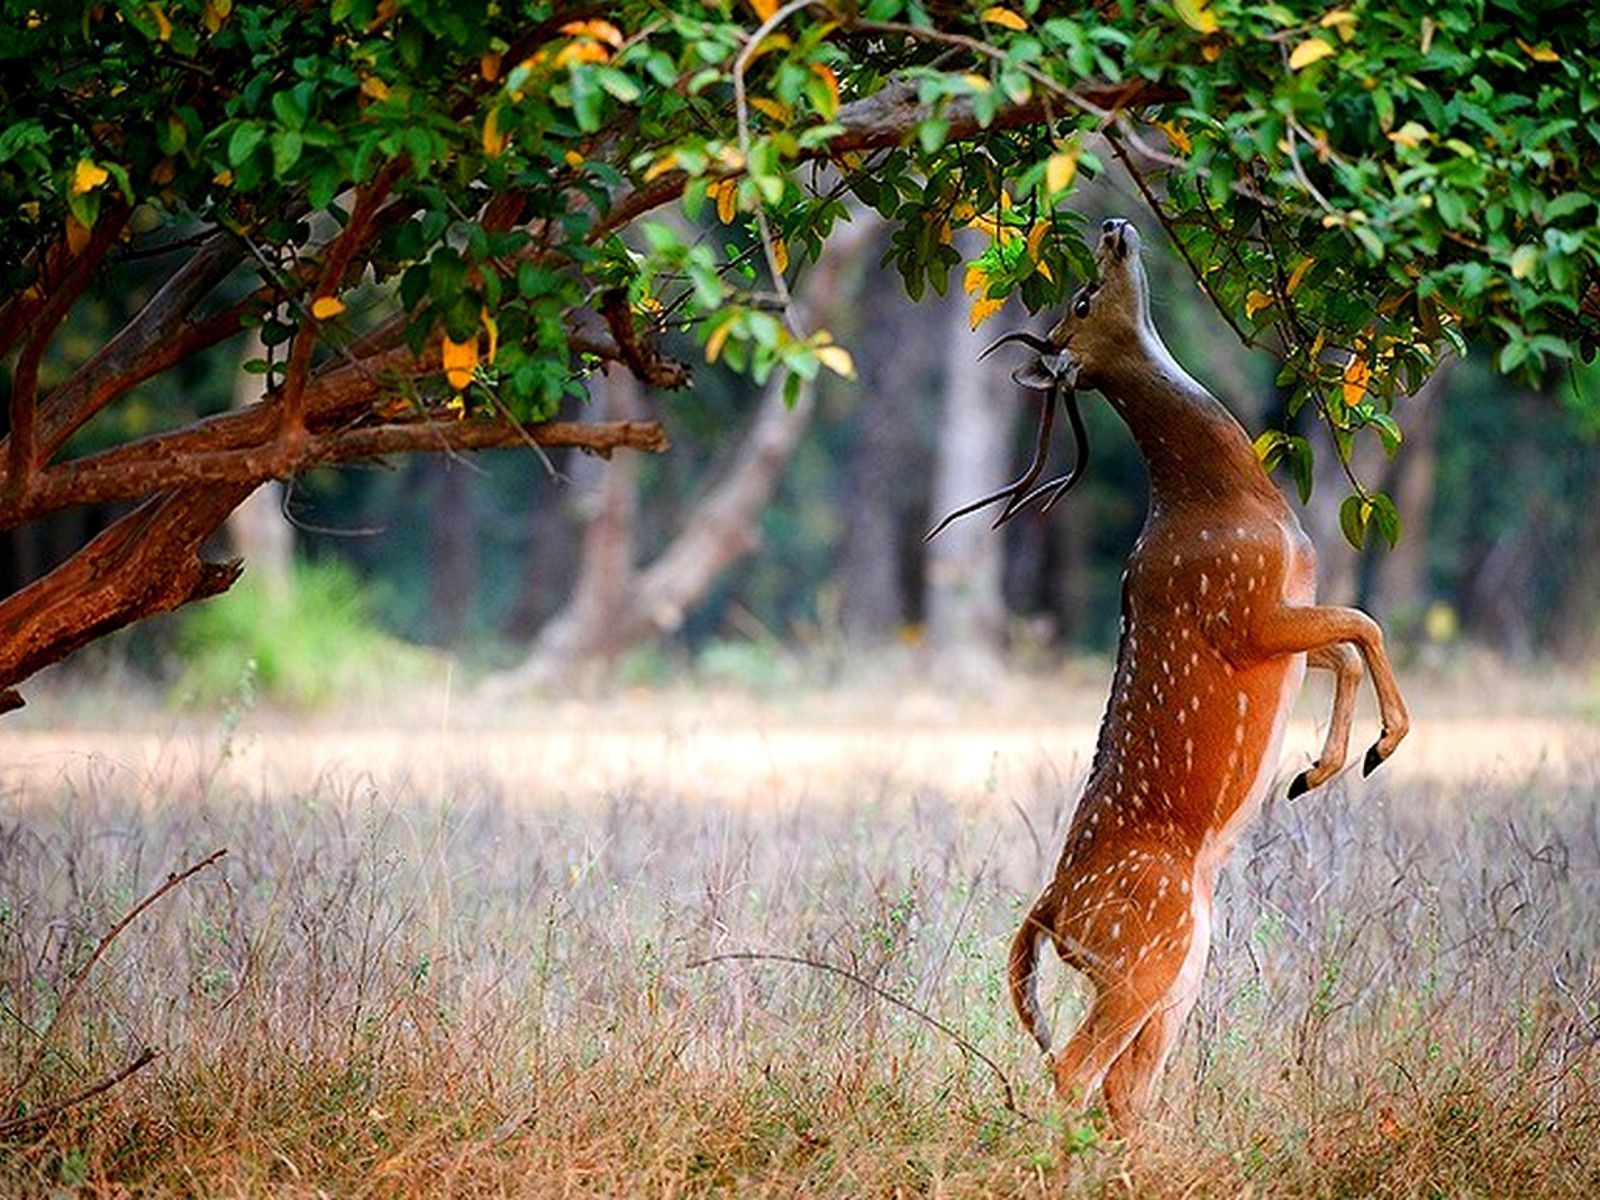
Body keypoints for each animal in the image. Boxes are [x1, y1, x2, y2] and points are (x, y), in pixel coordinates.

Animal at [933, 217, 1410, 1137]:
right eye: (1083, 297)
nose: (1114, 228)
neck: (1231, 503)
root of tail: (1051, 910)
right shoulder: (1245, 609)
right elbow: (1364, 622)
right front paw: (1376, 750)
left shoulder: (1286, 612)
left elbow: (1344, 643)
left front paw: (1318, 768)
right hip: (1142, 954)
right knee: (1073, 1069)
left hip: (1178, 969)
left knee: (1126, 1086)